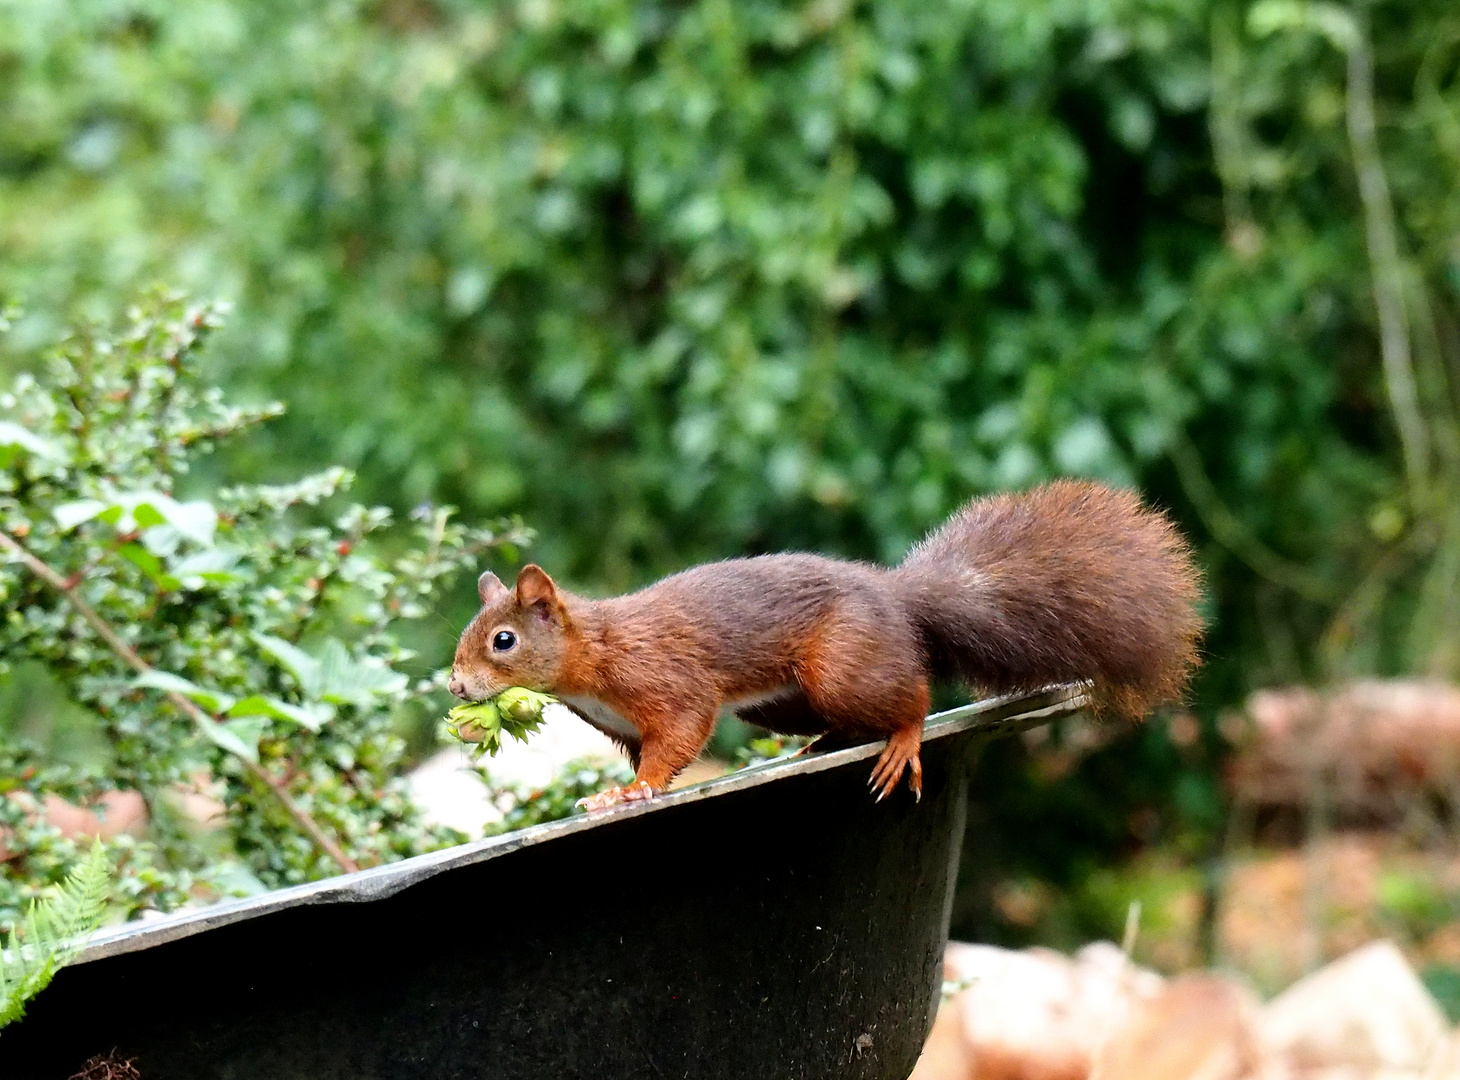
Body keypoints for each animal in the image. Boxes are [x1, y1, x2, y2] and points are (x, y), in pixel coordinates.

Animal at [449, 481, 1203, 811]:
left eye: (504, 640)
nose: (456, 688)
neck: (592, 657)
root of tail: (898, 599)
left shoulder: (664, 678)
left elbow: (680, 733)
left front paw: (628, 793)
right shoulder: (623, 724)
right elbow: (654, 752)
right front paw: (625, 786)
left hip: (841, 665)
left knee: (912, 698)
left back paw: (900, 740)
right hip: (782, 702)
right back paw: (820, 747)